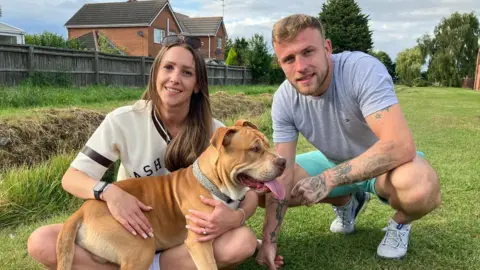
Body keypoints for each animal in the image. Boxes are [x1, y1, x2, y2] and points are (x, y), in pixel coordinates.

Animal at [57, 120, 288, 270]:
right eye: (255, 149)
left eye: (267, 144)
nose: (283, 161)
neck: (214, 183)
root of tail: (82, 211)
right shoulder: (199, 243)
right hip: (140, 248)